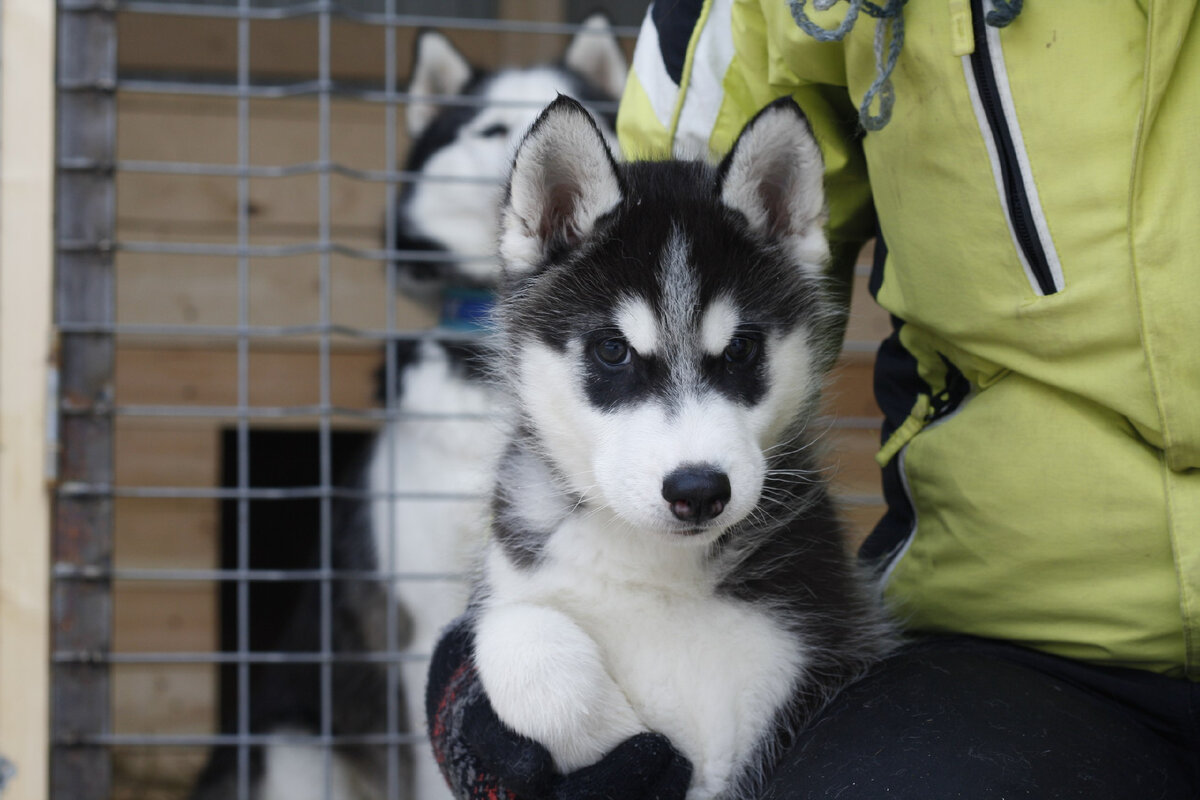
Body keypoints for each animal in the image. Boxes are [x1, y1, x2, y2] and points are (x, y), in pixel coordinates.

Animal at [463, 95, 897, 800]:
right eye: (613, 350)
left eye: (742, 349)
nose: (699, 491)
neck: (654, 569)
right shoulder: (521, 585)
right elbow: (513, 640)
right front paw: (627, 748)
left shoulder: (798, 658)